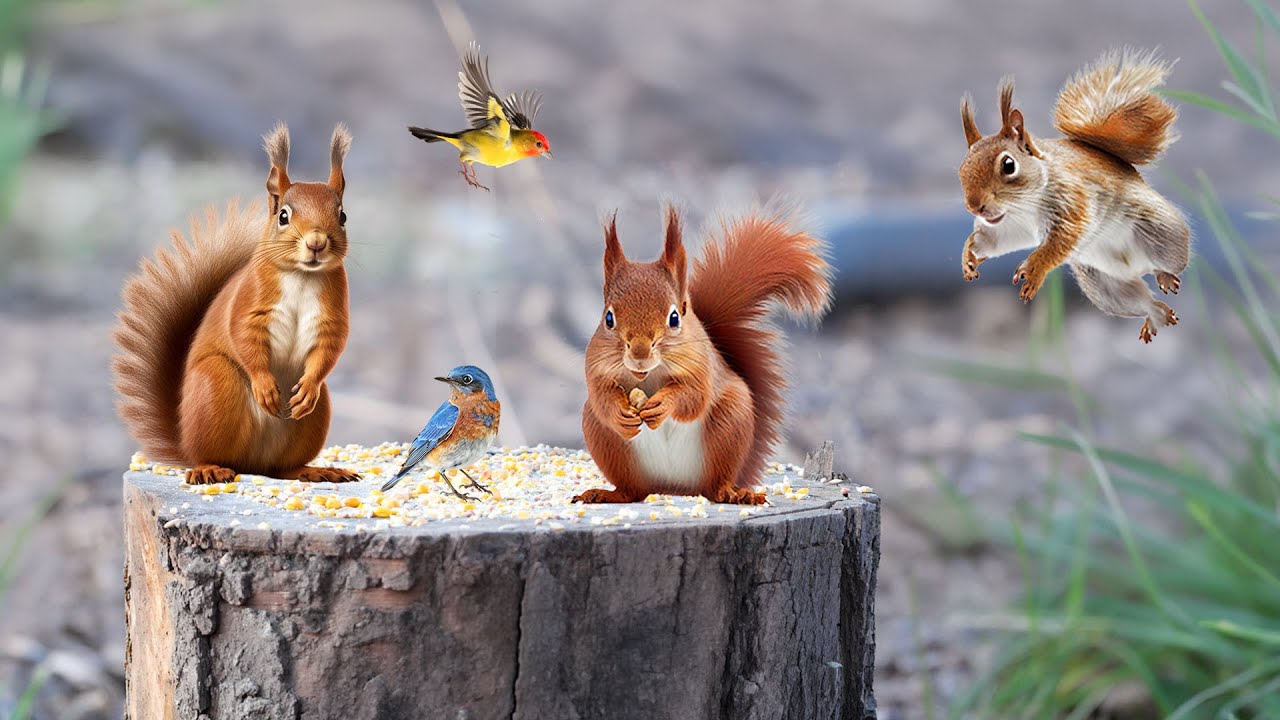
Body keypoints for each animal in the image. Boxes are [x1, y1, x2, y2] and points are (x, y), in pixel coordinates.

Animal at [112, 122, 361, 485]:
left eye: (342, 216)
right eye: (283, 216)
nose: (316, 243)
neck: (302, 276)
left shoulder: (331, 312)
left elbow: (330, 347)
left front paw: (308, 388)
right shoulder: (248, 302)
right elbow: (244, 337)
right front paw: (265, 386)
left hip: (313, 420)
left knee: (284, 467)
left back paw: (315, 469)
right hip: (217, 386)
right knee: (211, 453)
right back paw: (209, 468)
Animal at [574, 207, 832, 505]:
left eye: (675, 317)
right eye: (608, 318)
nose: (639, 354)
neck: (650, 375)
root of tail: (674, 487)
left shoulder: (701, 366)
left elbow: (694, 398)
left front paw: (663, 404)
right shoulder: (596, 367)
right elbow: (601, 396)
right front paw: (619, 413)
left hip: (730, 422)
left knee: (716, 485)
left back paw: (735, 494)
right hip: (604, 438)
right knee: (632, 490)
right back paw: (606, 493)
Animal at [958, 49, 1191, 343]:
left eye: (1009, 165)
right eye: (961, 169)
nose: (974, 206)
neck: (1023, 206)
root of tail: (1137, 267)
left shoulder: (1073, 200)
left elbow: (1062, 239)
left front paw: (1034, 269)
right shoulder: (1010, 227)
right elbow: (993, 241)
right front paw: (969, 255)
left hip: (1162, 237)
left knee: (1168, 263)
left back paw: (1165, 277)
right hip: (1103, 287)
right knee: (1141, 302)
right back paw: (1155, 314)